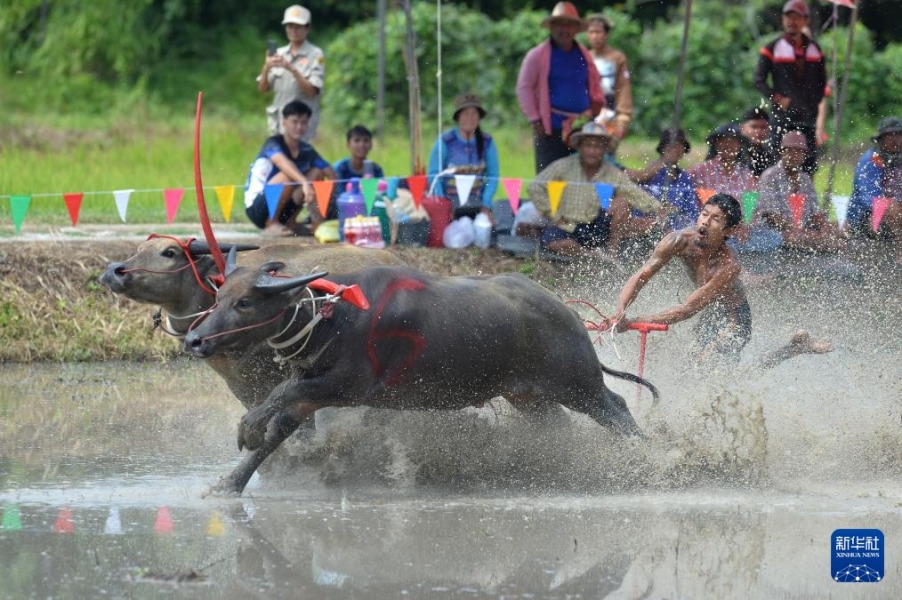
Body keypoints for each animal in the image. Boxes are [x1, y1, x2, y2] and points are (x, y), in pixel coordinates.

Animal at [99, 234, 402, 492]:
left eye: (169, 252)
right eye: (139, 249)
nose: (114, 270)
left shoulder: (293, 380)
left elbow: (289, 428)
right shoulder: (244, 387)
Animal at [185, 255, 664, 494]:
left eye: (246, 302)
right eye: (219, 296)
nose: (195, 340)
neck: (334, 316)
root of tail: (568, 313)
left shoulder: (346, 385)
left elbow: (276, 396)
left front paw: (247, 427)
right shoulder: (313, 392)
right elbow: (277, 432)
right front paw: (229, 483)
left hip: (579, 384)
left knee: (617, 408)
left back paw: (654, 460)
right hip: (530, 397)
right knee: (561, 426)